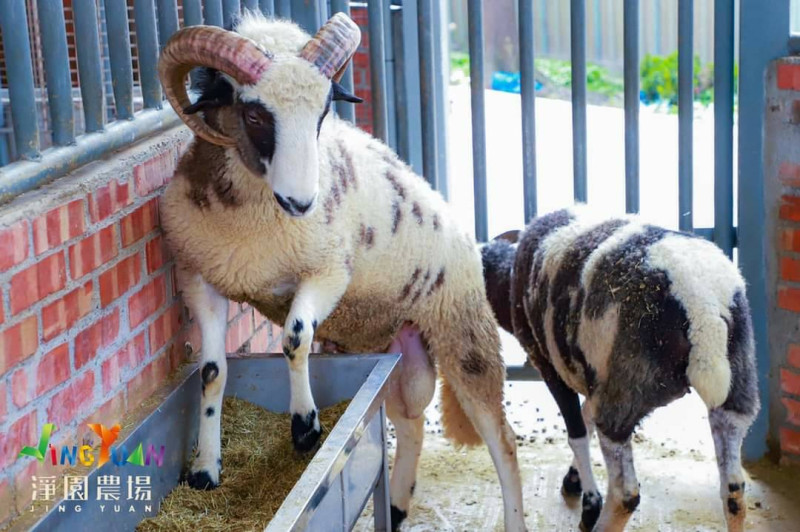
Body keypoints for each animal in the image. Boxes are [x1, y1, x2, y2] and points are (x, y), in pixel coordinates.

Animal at [157, 12, 532, 532]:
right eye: (254, 115)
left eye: (322, 113)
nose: (302, 203)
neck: (253, 226)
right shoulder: (200, 277)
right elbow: (212, 372)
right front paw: (205, 471)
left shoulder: (330, 273)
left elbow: (295, 338)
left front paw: (305, 428)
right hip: (396, 352)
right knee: (411, 421)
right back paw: (396, 505)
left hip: (464, 331)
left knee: (503, 440)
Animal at [478, 207, 760, 532]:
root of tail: (702, 306)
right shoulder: (595, 379)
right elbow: (586, 417)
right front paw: (573, 480)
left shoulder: (550, 366)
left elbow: (577, 433)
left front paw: (589, 502)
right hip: (735, 389)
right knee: (734, 491)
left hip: (623, 395)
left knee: (626, 494)